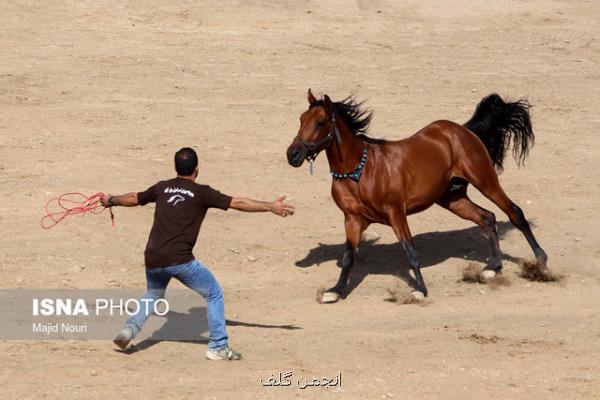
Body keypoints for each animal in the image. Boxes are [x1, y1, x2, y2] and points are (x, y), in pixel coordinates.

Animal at [286, 89, 548, 304]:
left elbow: (410, 252)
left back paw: (541, 262)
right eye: (301, 119)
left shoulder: (396, 213)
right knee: (487, 218)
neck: (359, 171)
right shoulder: (352, 219)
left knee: (514, 213)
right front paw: (336, 291)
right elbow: (349, 255)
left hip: (485, 182)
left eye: (320, 123)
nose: (293, 154)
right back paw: (492, 267)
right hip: (452, 198)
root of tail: (463, 129)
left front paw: (420, 290)